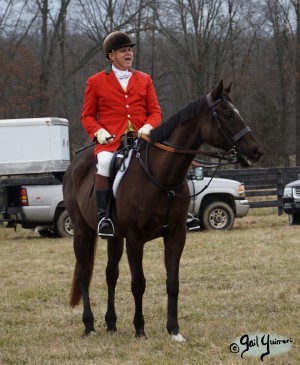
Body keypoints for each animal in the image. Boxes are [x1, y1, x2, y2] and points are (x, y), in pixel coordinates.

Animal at [62, 80, 262, 342]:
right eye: (228, 114)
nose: (256, 151)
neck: (161, 177)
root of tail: (73, 165)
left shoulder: (176, 235)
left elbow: (172, 282)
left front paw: (174, 330)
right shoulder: (135, 239)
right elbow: (138, 283)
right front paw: (139, 328)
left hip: (114, 237)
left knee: (111, 274)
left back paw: (111, 323)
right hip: (82, 232)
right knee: (85, 274)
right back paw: (89, 324)